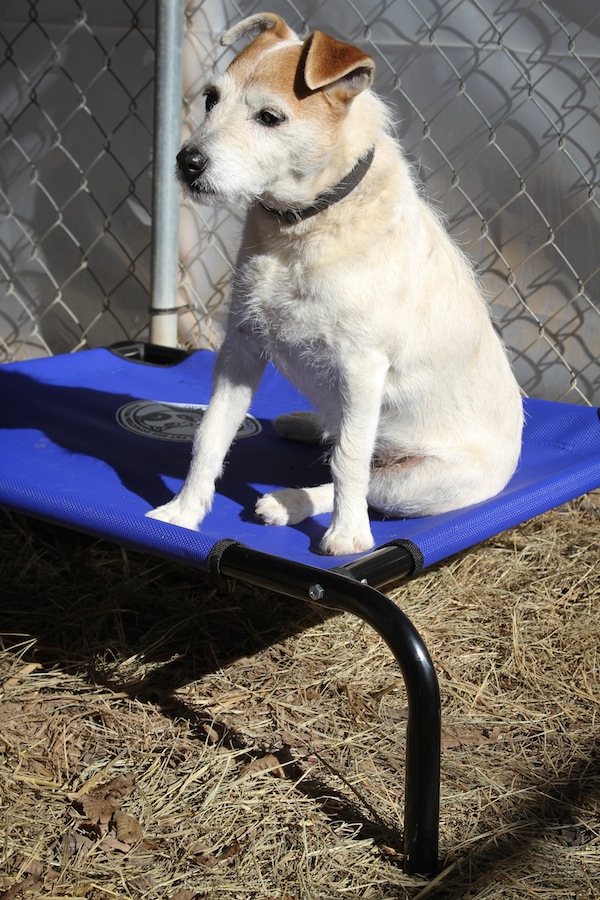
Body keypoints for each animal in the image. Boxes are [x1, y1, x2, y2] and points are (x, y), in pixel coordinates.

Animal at [148, 14, 524, 556]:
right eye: (210, 100)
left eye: (269, 117)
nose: (187, 162)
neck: (301, 227)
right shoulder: (240, 348)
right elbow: (210, 435)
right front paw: (183, 513)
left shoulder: (361, 367)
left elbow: (348, 461)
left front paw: (346, 536)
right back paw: (304, 425)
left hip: (423, 483)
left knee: (367, 478)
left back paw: (290, 503)